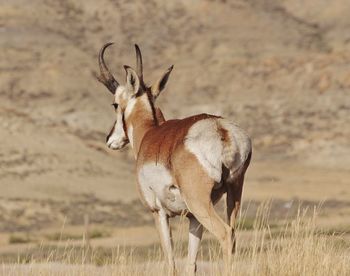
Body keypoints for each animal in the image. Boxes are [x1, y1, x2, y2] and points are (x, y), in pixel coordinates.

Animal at [96, 42, 252, 274]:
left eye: (115, 104)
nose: (110, 139)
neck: (150, 133)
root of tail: (220, 128)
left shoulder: (158, 212)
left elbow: (170, 261)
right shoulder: (192, 219)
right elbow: (190, 264)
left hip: (200, 203)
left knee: (225, 233)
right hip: (232, 194)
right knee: (233, 233)